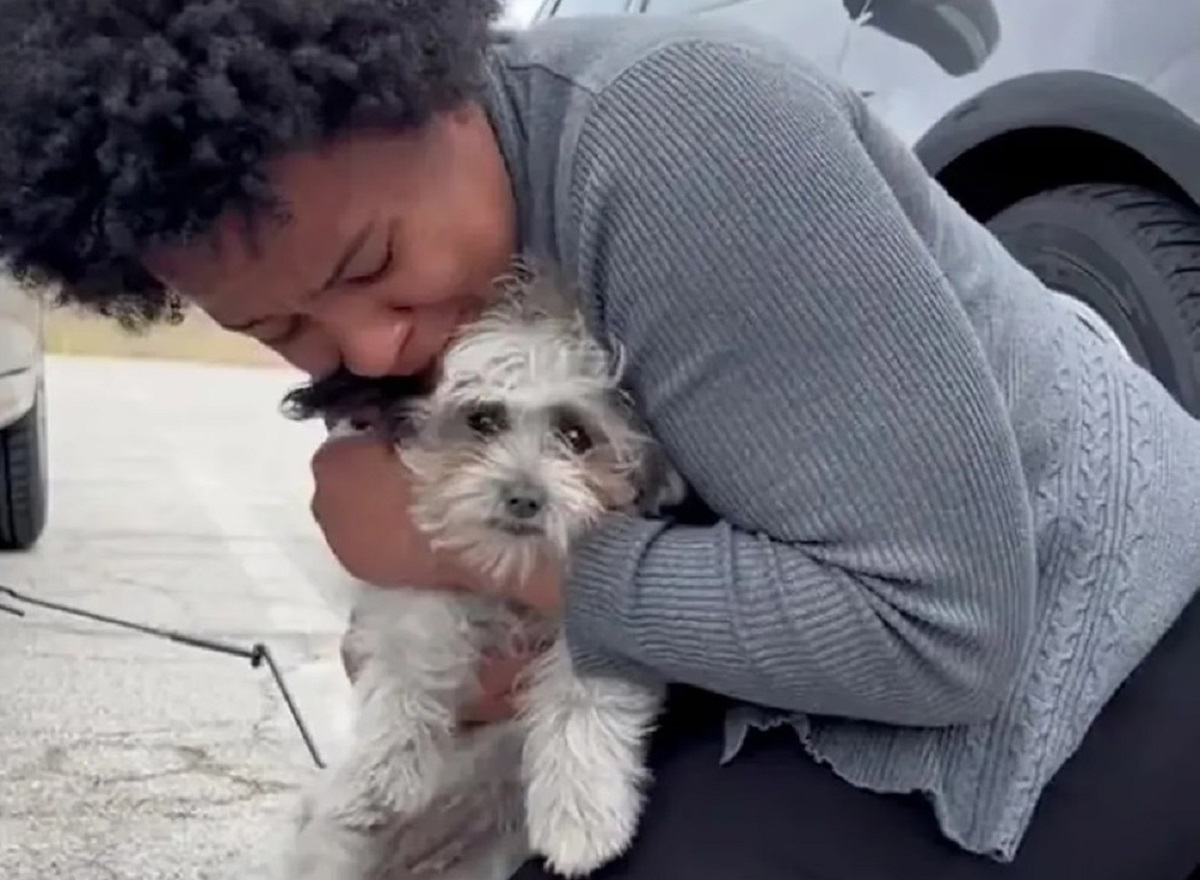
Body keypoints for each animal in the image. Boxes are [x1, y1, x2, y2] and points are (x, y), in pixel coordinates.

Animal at [274, 260, 686, 878]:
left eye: (576, 436)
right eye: (483, 419)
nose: (524, 497)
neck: (510, 587)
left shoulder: (600, 627)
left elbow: (585, 699)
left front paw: (580, 816)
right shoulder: (420, 588)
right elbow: (413, 657)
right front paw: (379, 773)